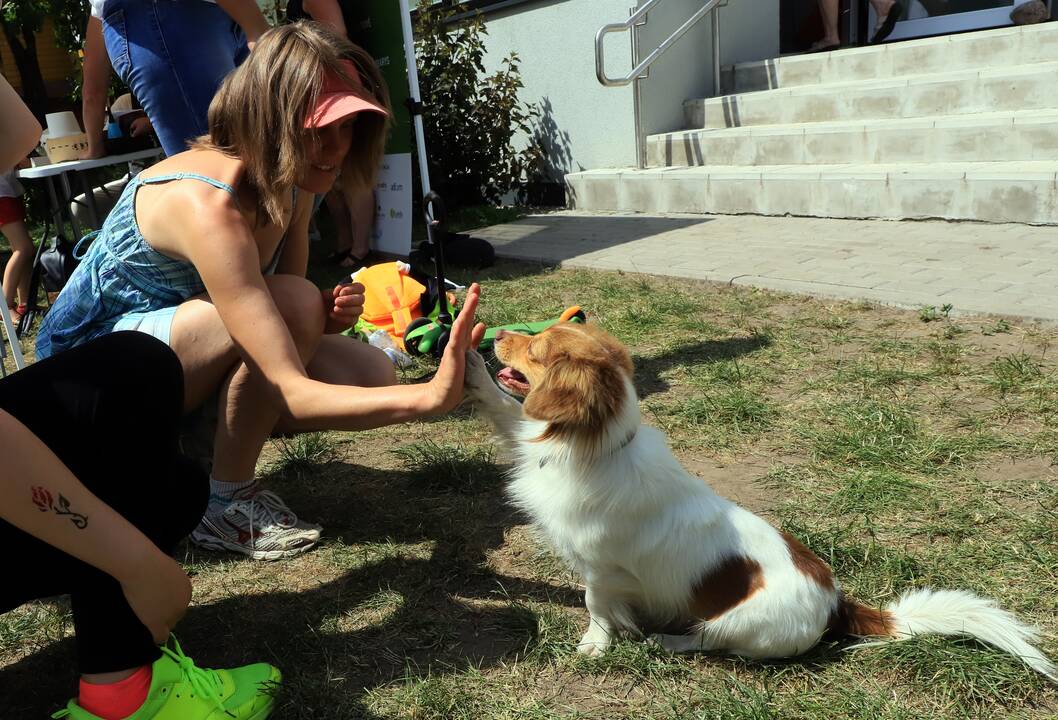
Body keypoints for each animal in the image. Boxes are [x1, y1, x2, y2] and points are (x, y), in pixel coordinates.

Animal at [465, 323, 1058, 676]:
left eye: (535, 348)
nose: (492, 333)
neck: (592, 449)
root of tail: (839, 601)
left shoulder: (601, 568)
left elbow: (596, 608)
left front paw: (595, 645)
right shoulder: (526, 438)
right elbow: (503, 409)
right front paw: (467, 366)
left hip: (739, 623)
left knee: (711, 640)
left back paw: (666, 642)